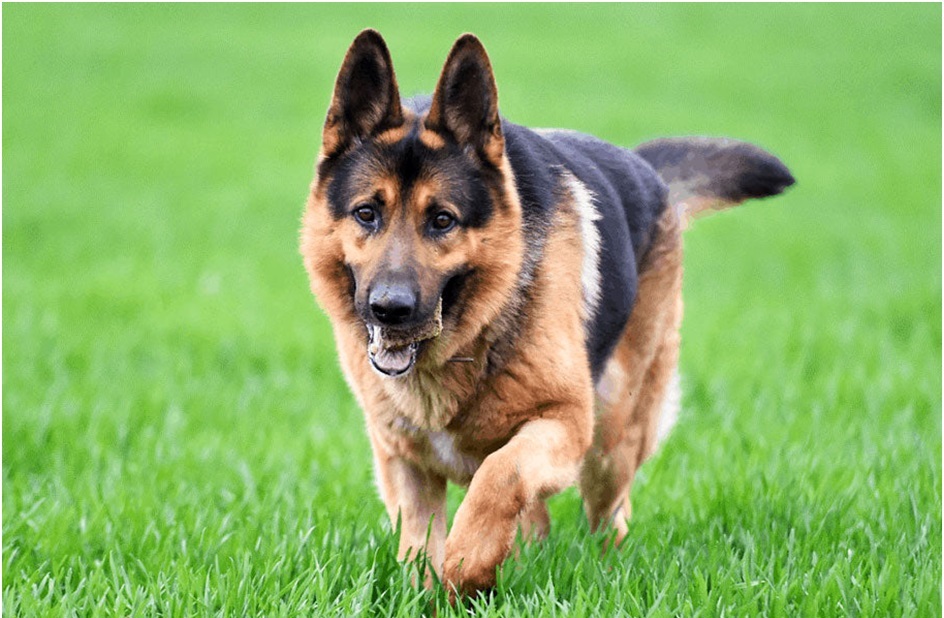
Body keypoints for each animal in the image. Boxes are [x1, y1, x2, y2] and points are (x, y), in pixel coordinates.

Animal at [298, 28, 792, 596]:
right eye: (366, 214)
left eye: (442, 220)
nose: (390, 308)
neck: (466, 346)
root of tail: (646, 171)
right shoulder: (402, 462)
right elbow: (420, 546)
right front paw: (447, 585)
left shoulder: (563, 423)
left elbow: (499, 477)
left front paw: (467, 564)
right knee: (539, 520)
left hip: (612, 437)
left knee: (609, 518)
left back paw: (600, 570)